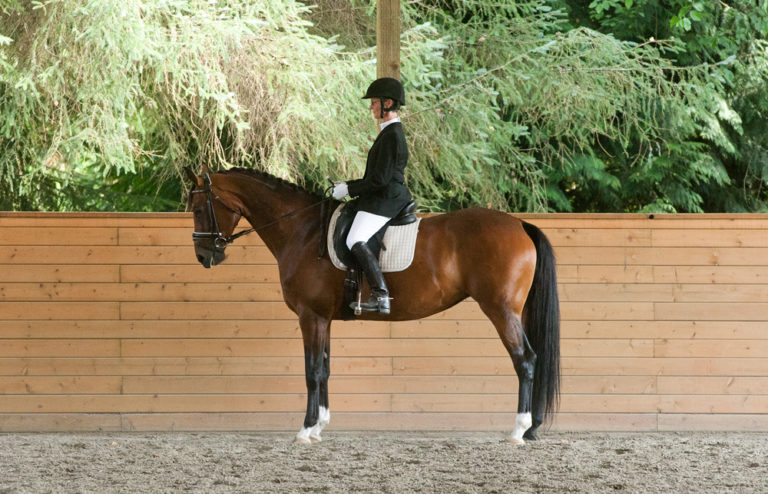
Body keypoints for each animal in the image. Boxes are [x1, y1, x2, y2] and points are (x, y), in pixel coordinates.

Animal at [185, 165, 560, 445]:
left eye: (199, 208)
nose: (204, 256)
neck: (302, 231)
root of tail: (519, 224)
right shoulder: (324, 319)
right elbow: (325, 369)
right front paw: (319, 426)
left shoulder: (311, 316)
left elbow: (312, 371)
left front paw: (305, 430)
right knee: (533, 359)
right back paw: (533, 428)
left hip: (501, 310)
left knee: (525, 360)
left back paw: (518, 430)